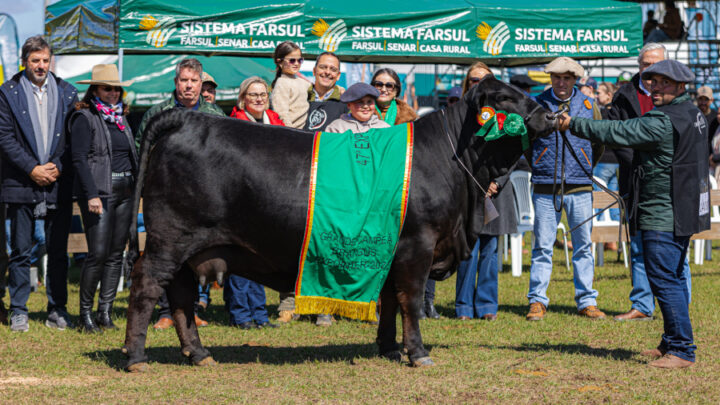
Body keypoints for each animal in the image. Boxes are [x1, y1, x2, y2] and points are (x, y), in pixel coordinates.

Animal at [121, 77, 556, 370]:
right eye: (504, 98)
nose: (552, 114)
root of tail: (184, 118)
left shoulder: (391, 249)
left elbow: (389, 299)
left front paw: (388, 348)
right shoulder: (418, 245)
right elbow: (411, 300)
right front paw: (417, 353)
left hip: (186, 248)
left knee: (179, 295)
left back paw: (199, 353)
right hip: (169, 239)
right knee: (147, 285)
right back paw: (136, 357)